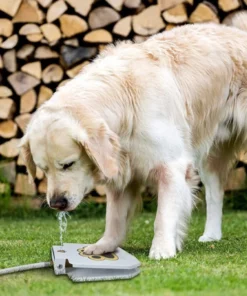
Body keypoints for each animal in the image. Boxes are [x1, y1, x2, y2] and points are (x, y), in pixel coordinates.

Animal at [19, 12, 247, 260]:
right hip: (210, 154)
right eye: (43, 170)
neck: (124, 101)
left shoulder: (171, 165)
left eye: (68, 164)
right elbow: (114, 218)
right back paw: (211, 235)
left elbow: (163, 215)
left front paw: (162, 248)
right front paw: (104, 245)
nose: (57, 203)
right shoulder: (121, 170)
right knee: (215, 193)